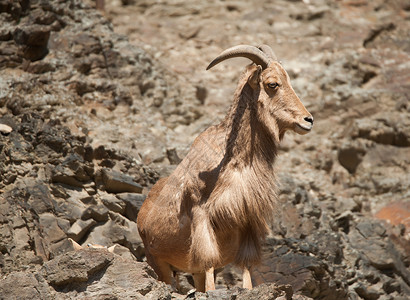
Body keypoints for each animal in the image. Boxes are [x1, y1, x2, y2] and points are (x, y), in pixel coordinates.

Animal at [138, 45, 314, 292]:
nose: (308, 120)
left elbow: (246, 267)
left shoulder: (248, 221)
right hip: (158, 262)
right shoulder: (202, 218)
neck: (235, 161)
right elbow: (210, 262)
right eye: (272, 84)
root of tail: (142, 215)